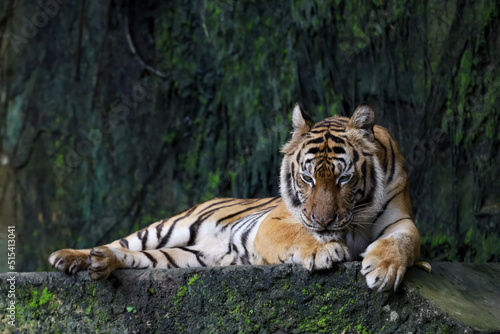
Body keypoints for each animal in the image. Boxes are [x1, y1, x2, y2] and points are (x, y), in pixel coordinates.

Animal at [49, 103, 422, 290]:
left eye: (345, 178)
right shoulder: (275, 221)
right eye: (307, 177)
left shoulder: (400, 218)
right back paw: (70, 256)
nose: (323, 221)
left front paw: (384, 269)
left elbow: (403, 241)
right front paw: (324, 250)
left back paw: (100, 262)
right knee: (124, 241)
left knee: (135, 258)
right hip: (169, 227)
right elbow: (300, 235)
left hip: (186, 258)